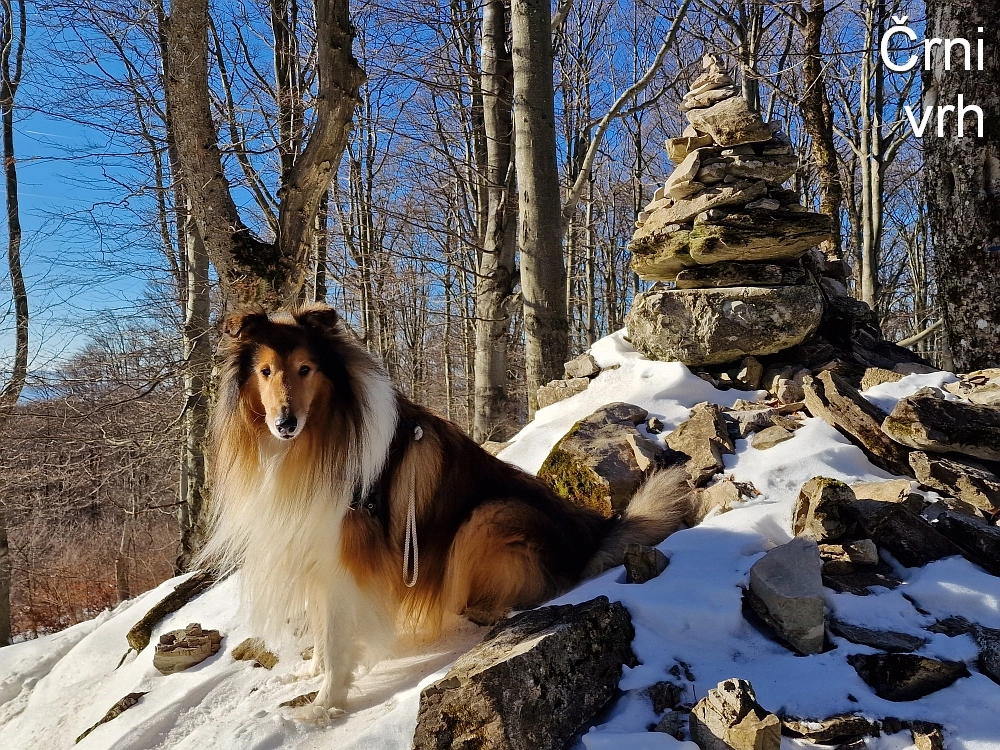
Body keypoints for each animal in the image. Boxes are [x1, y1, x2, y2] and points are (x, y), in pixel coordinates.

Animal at [207, 304, 692, 712]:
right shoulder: (313, 550)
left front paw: (323, 707)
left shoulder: (347, 560)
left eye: (305, 369)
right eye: (265, 371)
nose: (284, 423)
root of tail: (587, 540)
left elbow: (338, 636)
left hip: (487, 516)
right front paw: (310, 674)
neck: (317, 440)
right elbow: (323, 627)